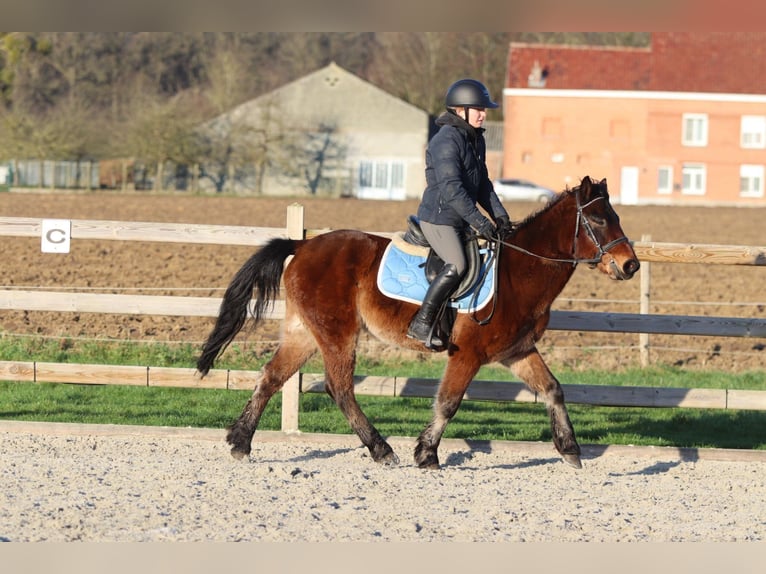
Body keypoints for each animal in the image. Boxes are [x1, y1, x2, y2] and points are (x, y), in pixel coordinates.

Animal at [196, 176, 640, 470]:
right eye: (599, 221)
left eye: (615, 216)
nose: (630, 265)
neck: (519, 270)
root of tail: (303, 244)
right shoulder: (468, 354)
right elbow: (448, 402)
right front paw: (426, 453)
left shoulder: (517, 352)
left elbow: (553, 390)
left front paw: (570, 449)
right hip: (337, 333)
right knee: (339, 387)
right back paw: (381, 449)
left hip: (305, 333)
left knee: (272, 376)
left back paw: (240, 441)